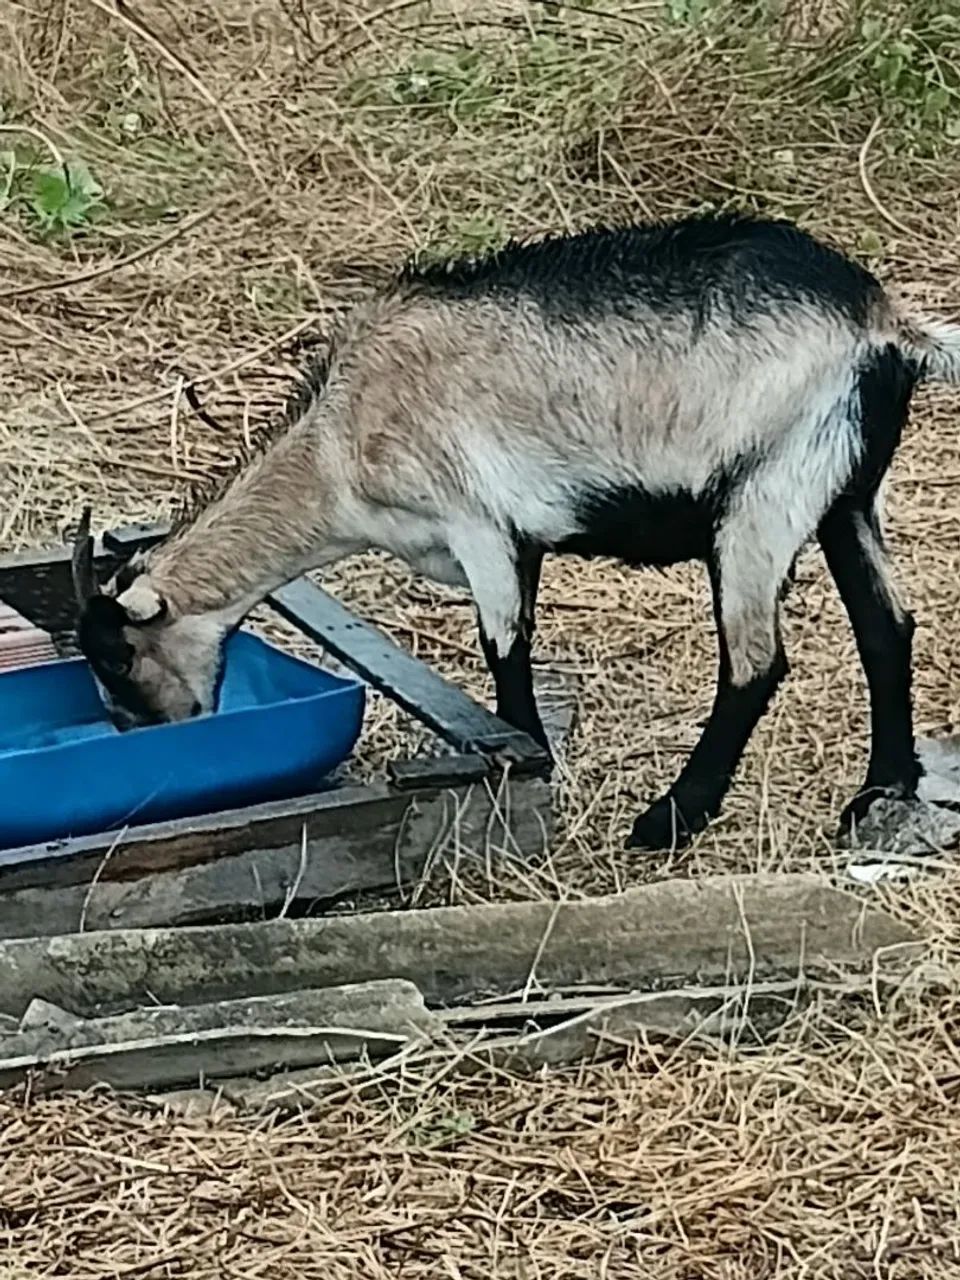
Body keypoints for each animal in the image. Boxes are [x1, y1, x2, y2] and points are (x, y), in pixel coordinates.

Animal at [72, 212, 960, 851]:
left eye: (119, 659)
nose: (149, 738)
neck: (340, 439)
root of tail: (882, 326)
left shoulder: (480, 525)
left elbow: (504, 650)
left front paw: (525, 765)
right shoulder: (519, 542)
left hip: (765, 491)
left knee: (755, 663)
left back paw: (668, 819)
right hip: (844, 491)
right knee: (886, 626)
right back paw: (878, 791)